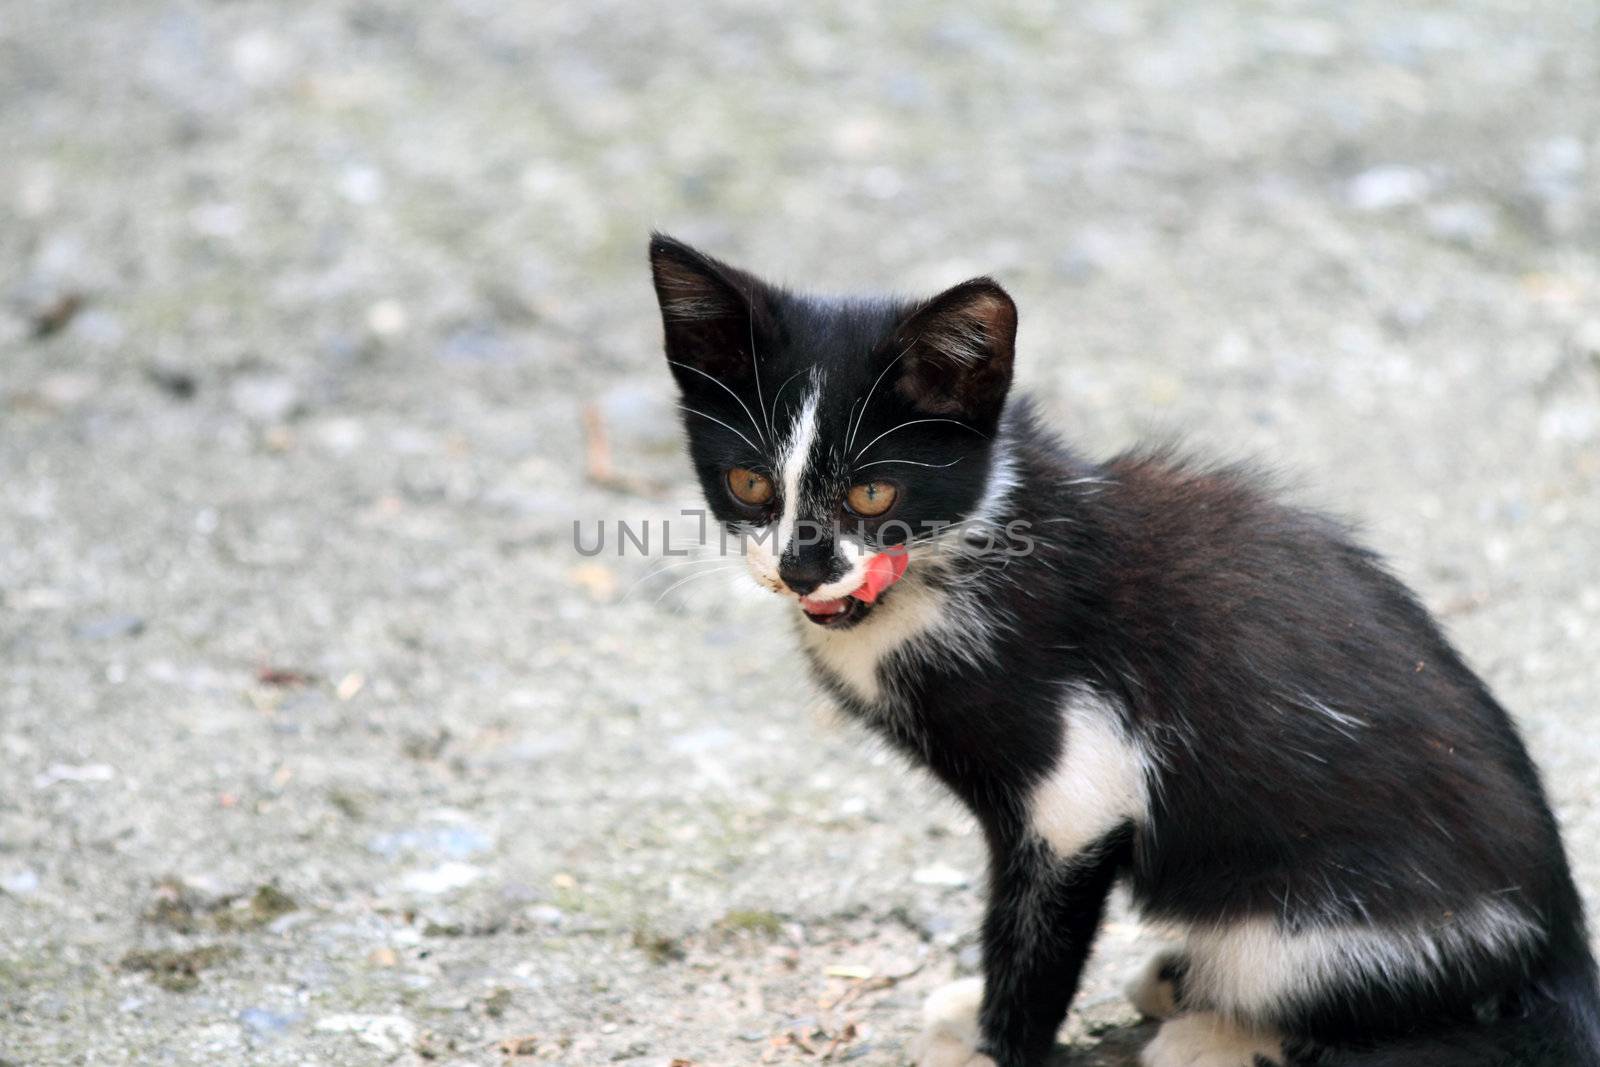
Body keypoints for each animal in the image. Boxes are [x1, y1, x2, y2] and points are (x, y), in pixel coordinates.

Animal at [646, 235, 1600, 1067]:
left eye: (874, 493)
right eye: (750, 483)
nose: (803, 568)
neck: (964, 554)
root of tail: (1561, 942)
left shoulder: (1079, 780)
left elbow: (1035, 927)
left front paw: (998, 1044)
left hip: (1304, 924)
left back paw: (1218, 1032)